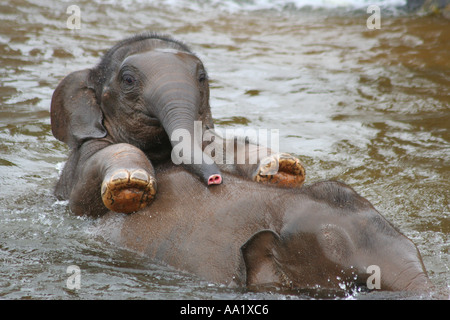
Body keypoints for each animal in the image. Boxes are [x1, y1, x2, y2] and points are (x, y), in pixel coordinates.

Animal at [51, 33, 306, 215]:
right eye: (128, 80)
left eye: (201, 78)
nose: (215, 179)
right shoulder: (79, 171)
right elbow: (86, 189)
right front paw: (130, 183)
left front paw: (282, 167)